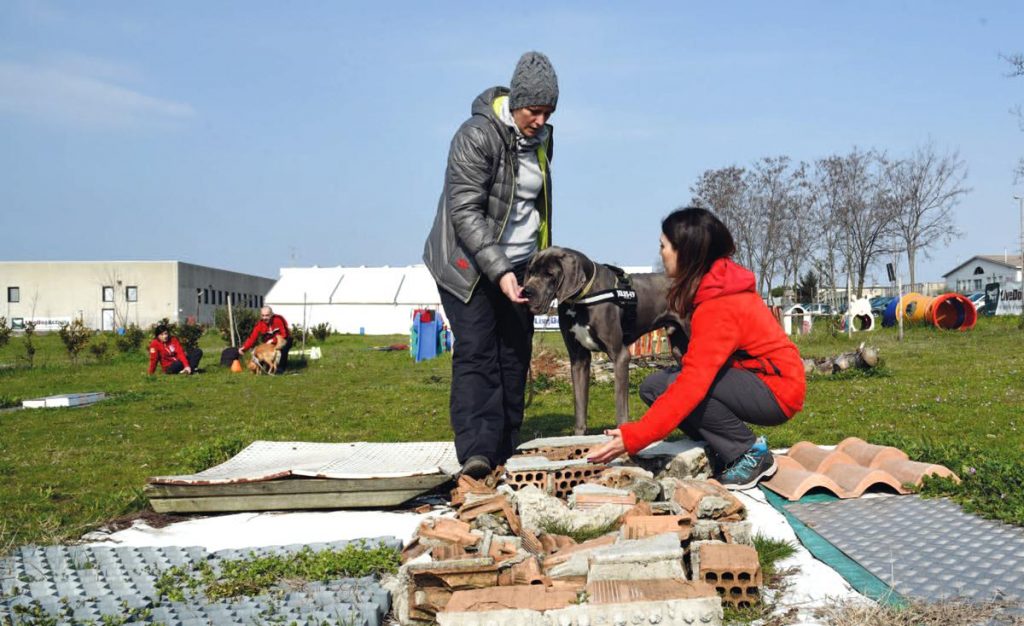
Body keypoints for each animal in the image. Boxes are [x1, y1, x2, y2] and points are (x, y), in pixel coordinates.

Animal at [524, 245, 684, 436]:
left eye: (549, 274)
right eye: (531, 271)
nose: (525, 292)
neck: (580, 299)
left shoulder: (620, 356)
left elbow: (621, 409)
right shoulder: (579, 360)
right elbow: (580, 408)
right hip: (679, 348)